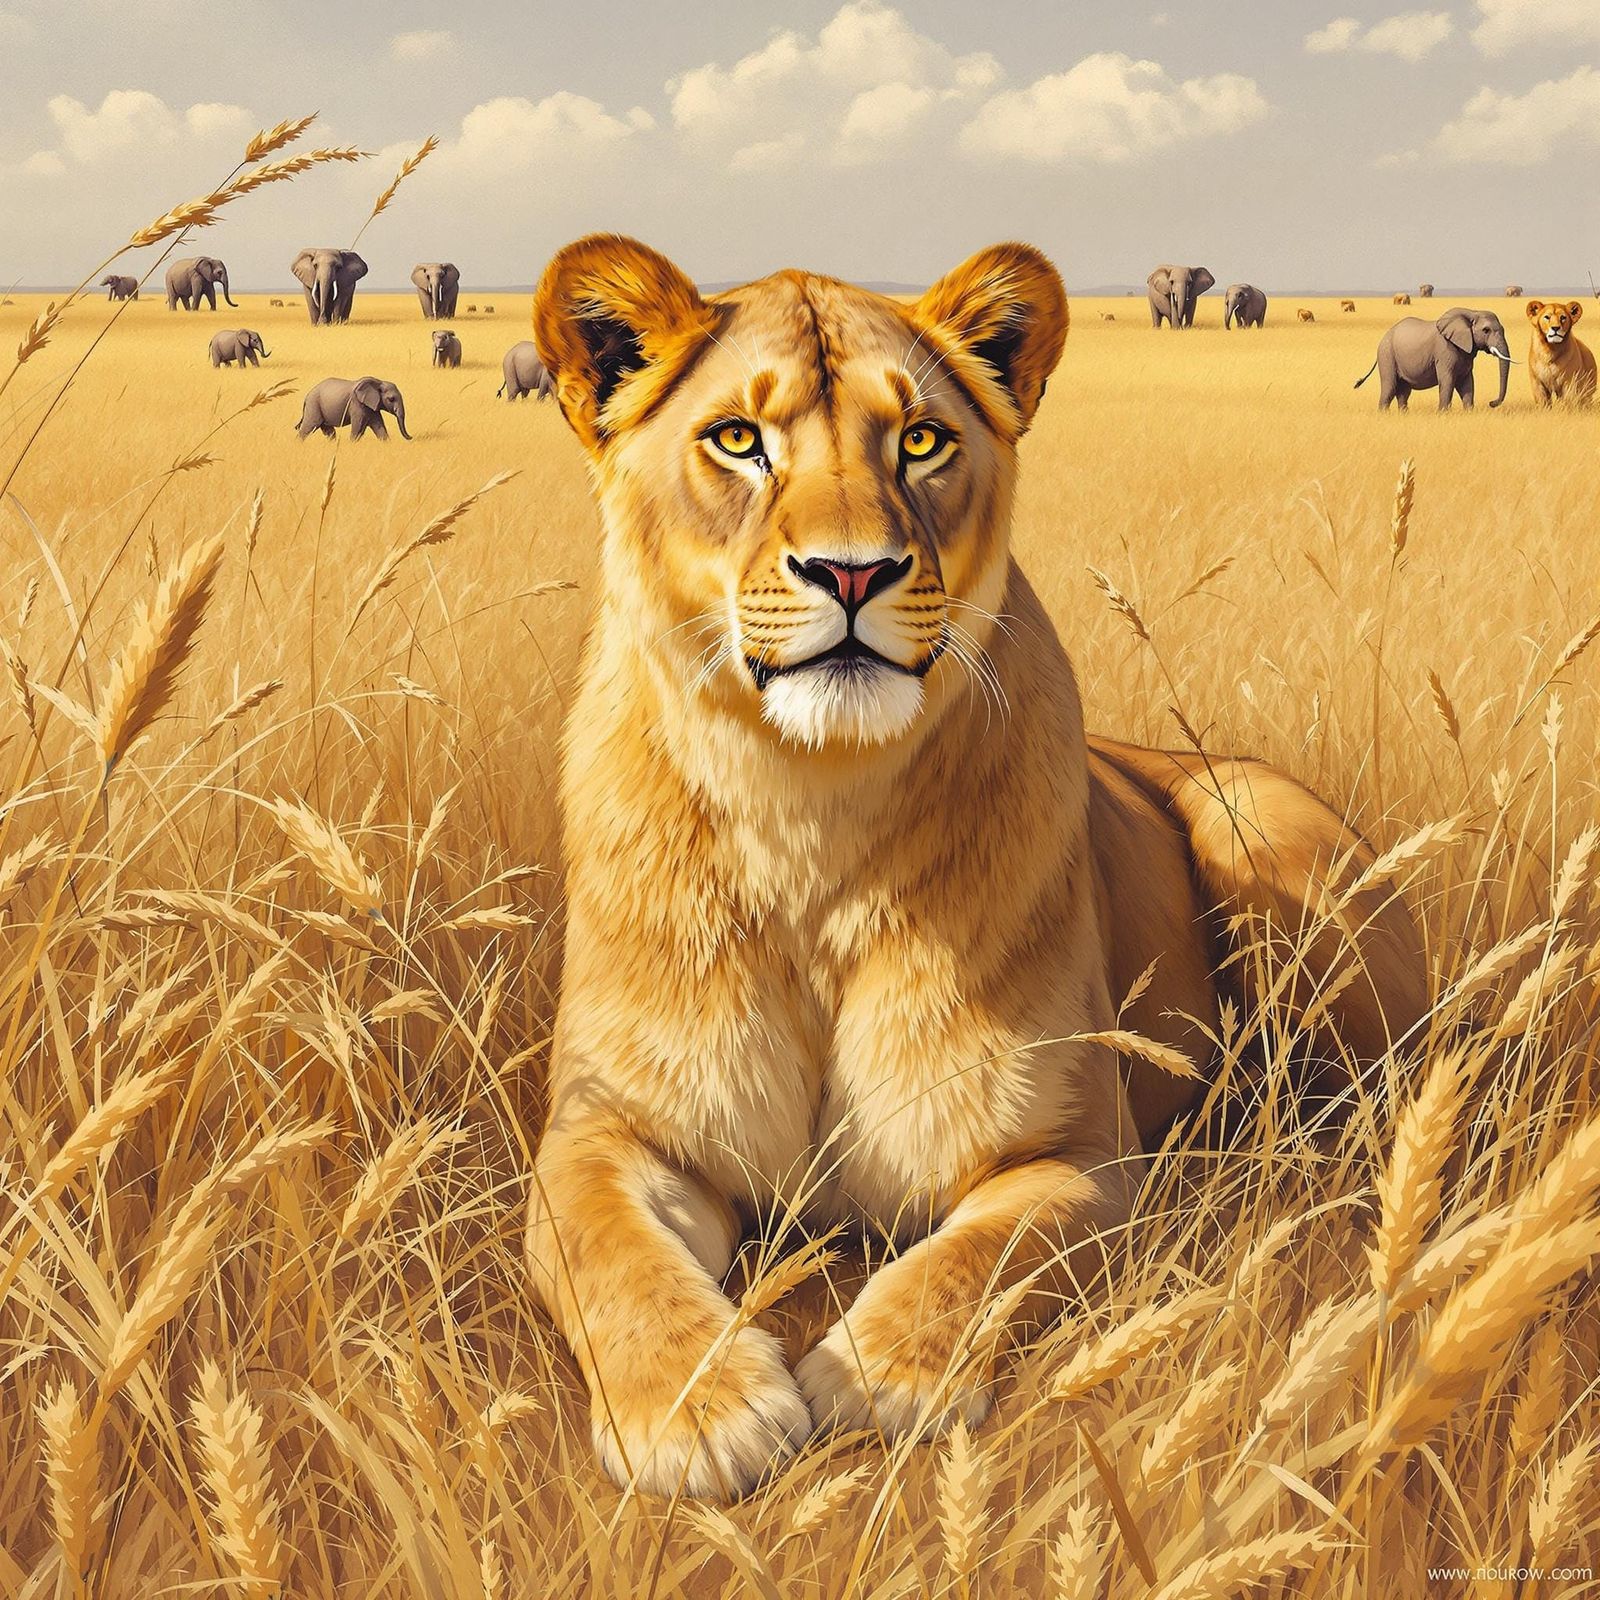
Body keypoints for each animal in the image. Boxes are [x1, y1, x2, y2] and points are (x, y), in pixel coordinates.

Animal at [524, 235, 1429, 1502]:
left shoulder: (1069, 1151)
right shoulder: (607, 1125)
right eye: (738, 439)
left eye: (920, 441)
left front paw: (874, 1377)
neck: (807, 811)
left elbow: (983, 1252)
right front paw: (698, 1409)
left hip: (1258, 838)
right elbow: (599, 1243)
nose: (852, 573)